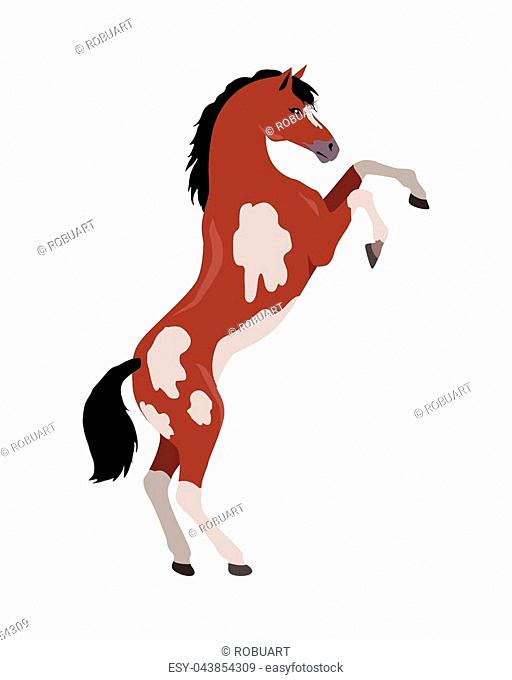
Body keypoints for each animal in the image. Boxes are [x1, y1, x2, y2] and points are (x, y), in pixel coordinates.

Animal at [83, 66, 429, 577]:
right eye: (292, 109)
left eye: (311, 106)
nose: (330, 148)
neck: (254, 193)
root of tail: (138, 365)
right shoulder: (320, 247)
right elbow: (361, 188)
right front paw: (376, 245)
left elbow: (360, 171)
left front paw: (417, 195)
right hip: (205, 422)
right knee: (187, 489)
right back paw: (236, 560)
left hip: (173, 433)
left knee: (155, 483)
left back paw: (183, 561)